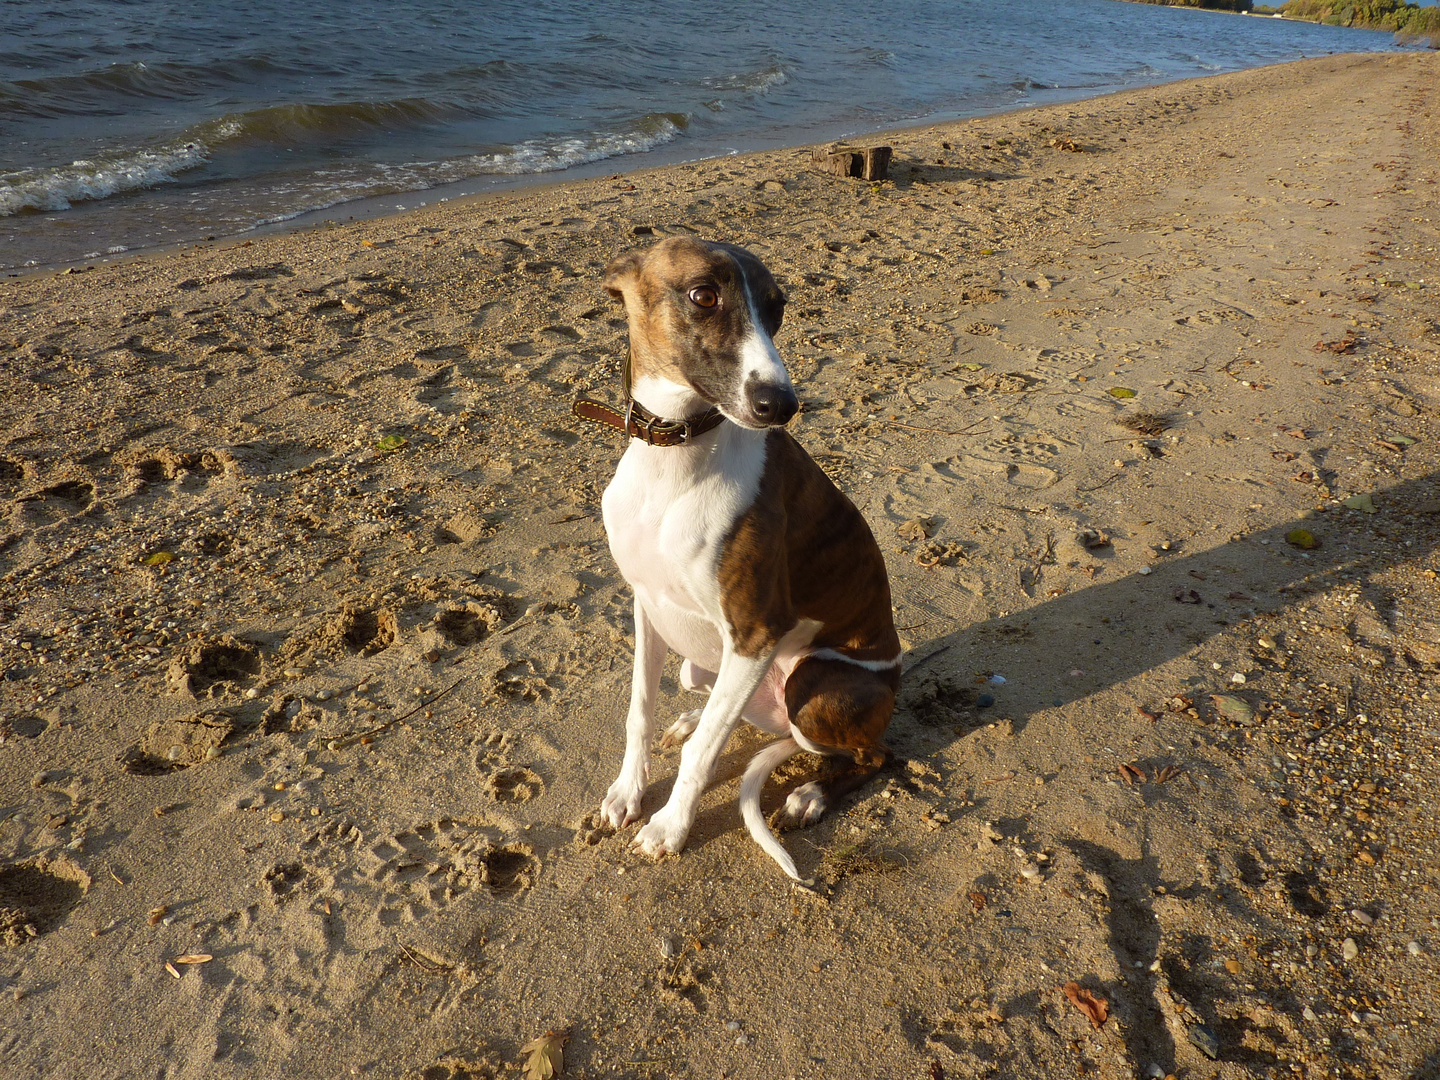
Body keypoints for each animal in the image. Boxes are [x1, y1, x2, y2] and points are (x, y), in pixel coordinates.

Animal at [576, 234, 898, 881]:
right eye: (703, 295)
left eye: (778, 308)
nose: (783, 404)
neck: (674, 459)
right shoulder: (646, 603)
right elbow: (640, 708)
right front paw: (628, 791)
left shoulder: (755, 632)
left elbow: (704, 754)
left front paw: (669, 827)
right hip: (706, 666)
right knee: (723, 711)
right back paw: (693, 720)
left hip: (812, 682)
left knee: (873, 754)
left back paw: (811, 793)